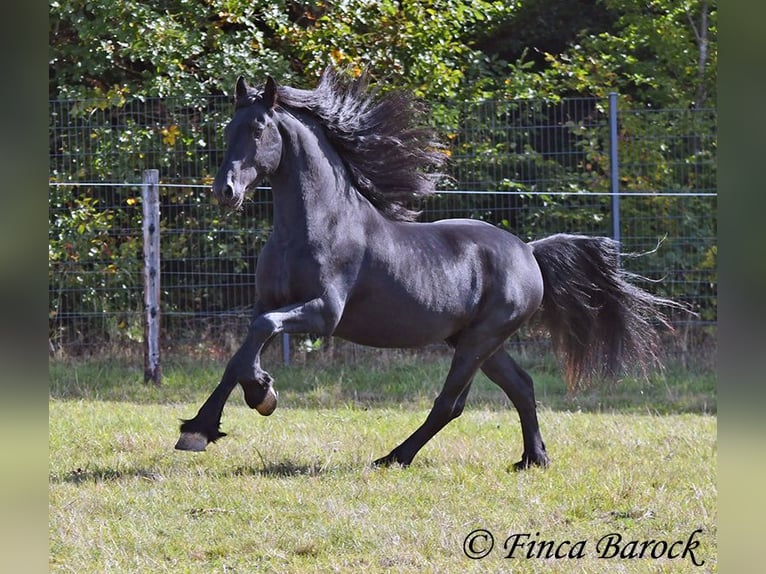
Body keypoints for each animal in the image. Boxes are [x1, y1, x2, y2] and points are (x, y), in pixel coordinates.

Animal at [175, 68, 679, 470]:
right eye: (229, 128)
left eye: (260, 128)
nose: (225, 191)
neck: (315, 225)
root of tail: (529, 251)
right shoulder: (269, 302)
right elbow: (241, 352)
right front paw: (203, 426)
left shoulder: (323, 312)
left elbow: (260, 334)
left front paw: (261, 394)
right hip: (479, 341)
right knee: (521, 386)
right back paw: (532, 459)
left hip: (478, 341)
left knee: (451, 403)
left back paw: (394, 457)